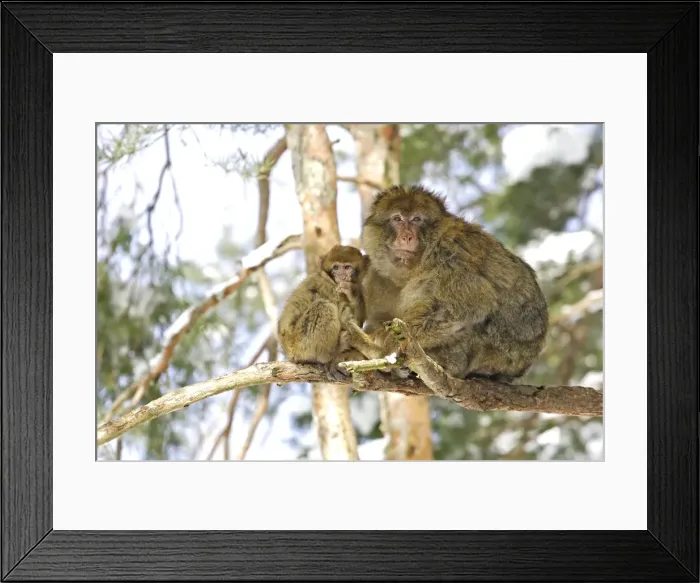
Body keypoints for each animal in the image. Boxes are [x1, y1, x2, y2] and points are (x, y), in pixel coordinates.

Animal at [278, 245, 374, 379]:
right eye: (336, 267)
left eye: (347, 267)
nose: (341, 276)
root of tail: (287, 349)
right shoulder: (331, 289)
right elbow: (347, 321)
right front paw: (378, 351)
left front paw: (352, 292)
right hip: (300, 343)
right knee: (323, 306)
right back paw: (331, 353)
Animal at [346, 184, 549, 383]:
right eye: (397, 219)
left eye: (416, 219)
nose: (407, 236)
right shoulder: (376, 276)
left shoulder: (451, 253)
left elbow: (473, 303)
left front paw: (386, 347)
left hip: (499, 351)